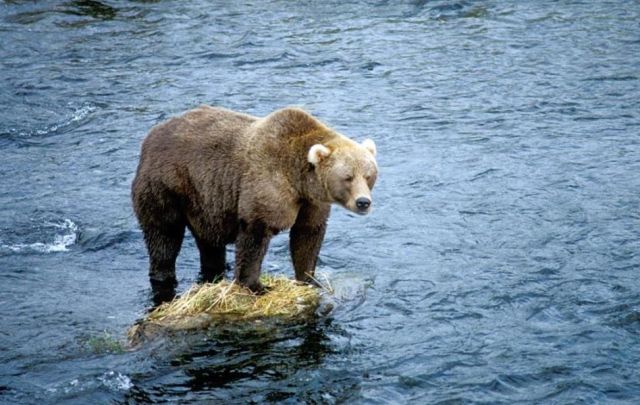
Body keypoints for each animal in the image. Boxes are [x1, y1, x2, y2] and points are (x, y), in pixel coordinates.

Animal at [131, 105, 377, 302]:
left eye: (368, 175)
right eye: (348, 177)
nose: (363, 202)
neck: (298, 180)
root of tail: (150, 136)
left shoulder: (311, 203)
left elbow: (307, 236)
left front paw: (308, 279)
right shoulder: (266, 184)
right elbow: (255, 236)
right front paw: (256, 285)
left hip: (203, 201)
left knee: (208, 241)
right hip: (166, 186)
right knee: (164, 235)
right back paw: (164, 275)